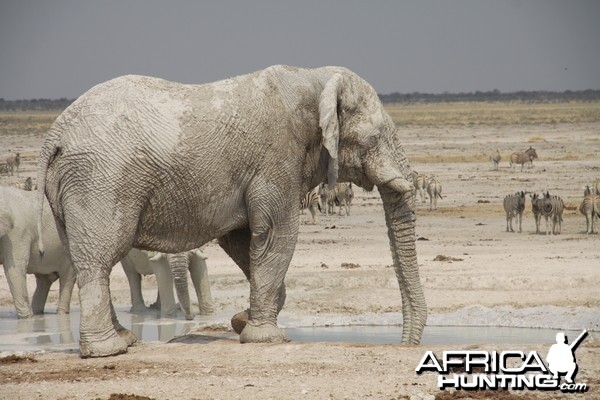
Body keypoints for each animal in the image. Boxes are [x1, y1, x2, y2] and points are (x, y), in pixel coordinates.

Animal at [0, 185, 75, 318]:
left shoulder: (16, 233)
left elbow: (15, 269)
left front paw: (26, 319)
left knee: (67, 277)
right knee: (44, 280)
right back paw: (37, 314)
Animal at [37, 65, 428, 356]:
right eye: (375, 137)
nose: (405, 346)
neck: (316, 79)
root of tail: (54, 135)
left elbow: (242, 240)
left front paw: (242, 322)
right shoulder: (277, 159)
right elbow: (277, 234)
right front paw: (266, 339)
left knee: (85, 257)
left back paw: (124, 339)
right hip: (101, 180)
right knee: (100, 258)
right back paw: (109, 349)